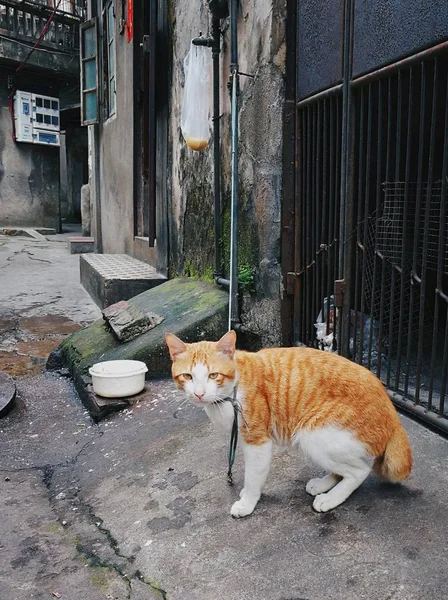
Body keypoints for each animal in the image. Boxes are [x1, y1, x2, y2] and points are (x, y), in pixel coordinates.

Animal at [165, 330, 412, 516]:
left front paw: (247, 502)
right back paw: (322, 485)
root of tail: (392, 414)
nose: (199, 394)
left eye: (213, 375)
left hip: (313, 434)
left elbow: (253, 475)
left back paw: (330, 499)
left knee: (360, 470)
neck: (230, 393)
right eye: (187, 376)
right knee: (345, 468)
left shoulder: (257, 441)